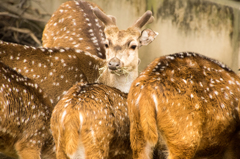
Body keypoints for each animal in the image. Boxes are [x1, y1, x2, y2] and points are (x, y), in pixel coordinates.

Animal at [50, 7, 158, 159]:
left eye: (134, 45)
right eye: (107, 44)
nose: (113, 63)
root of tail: (71, 119)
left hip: (59, 145)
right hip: (96, 144)